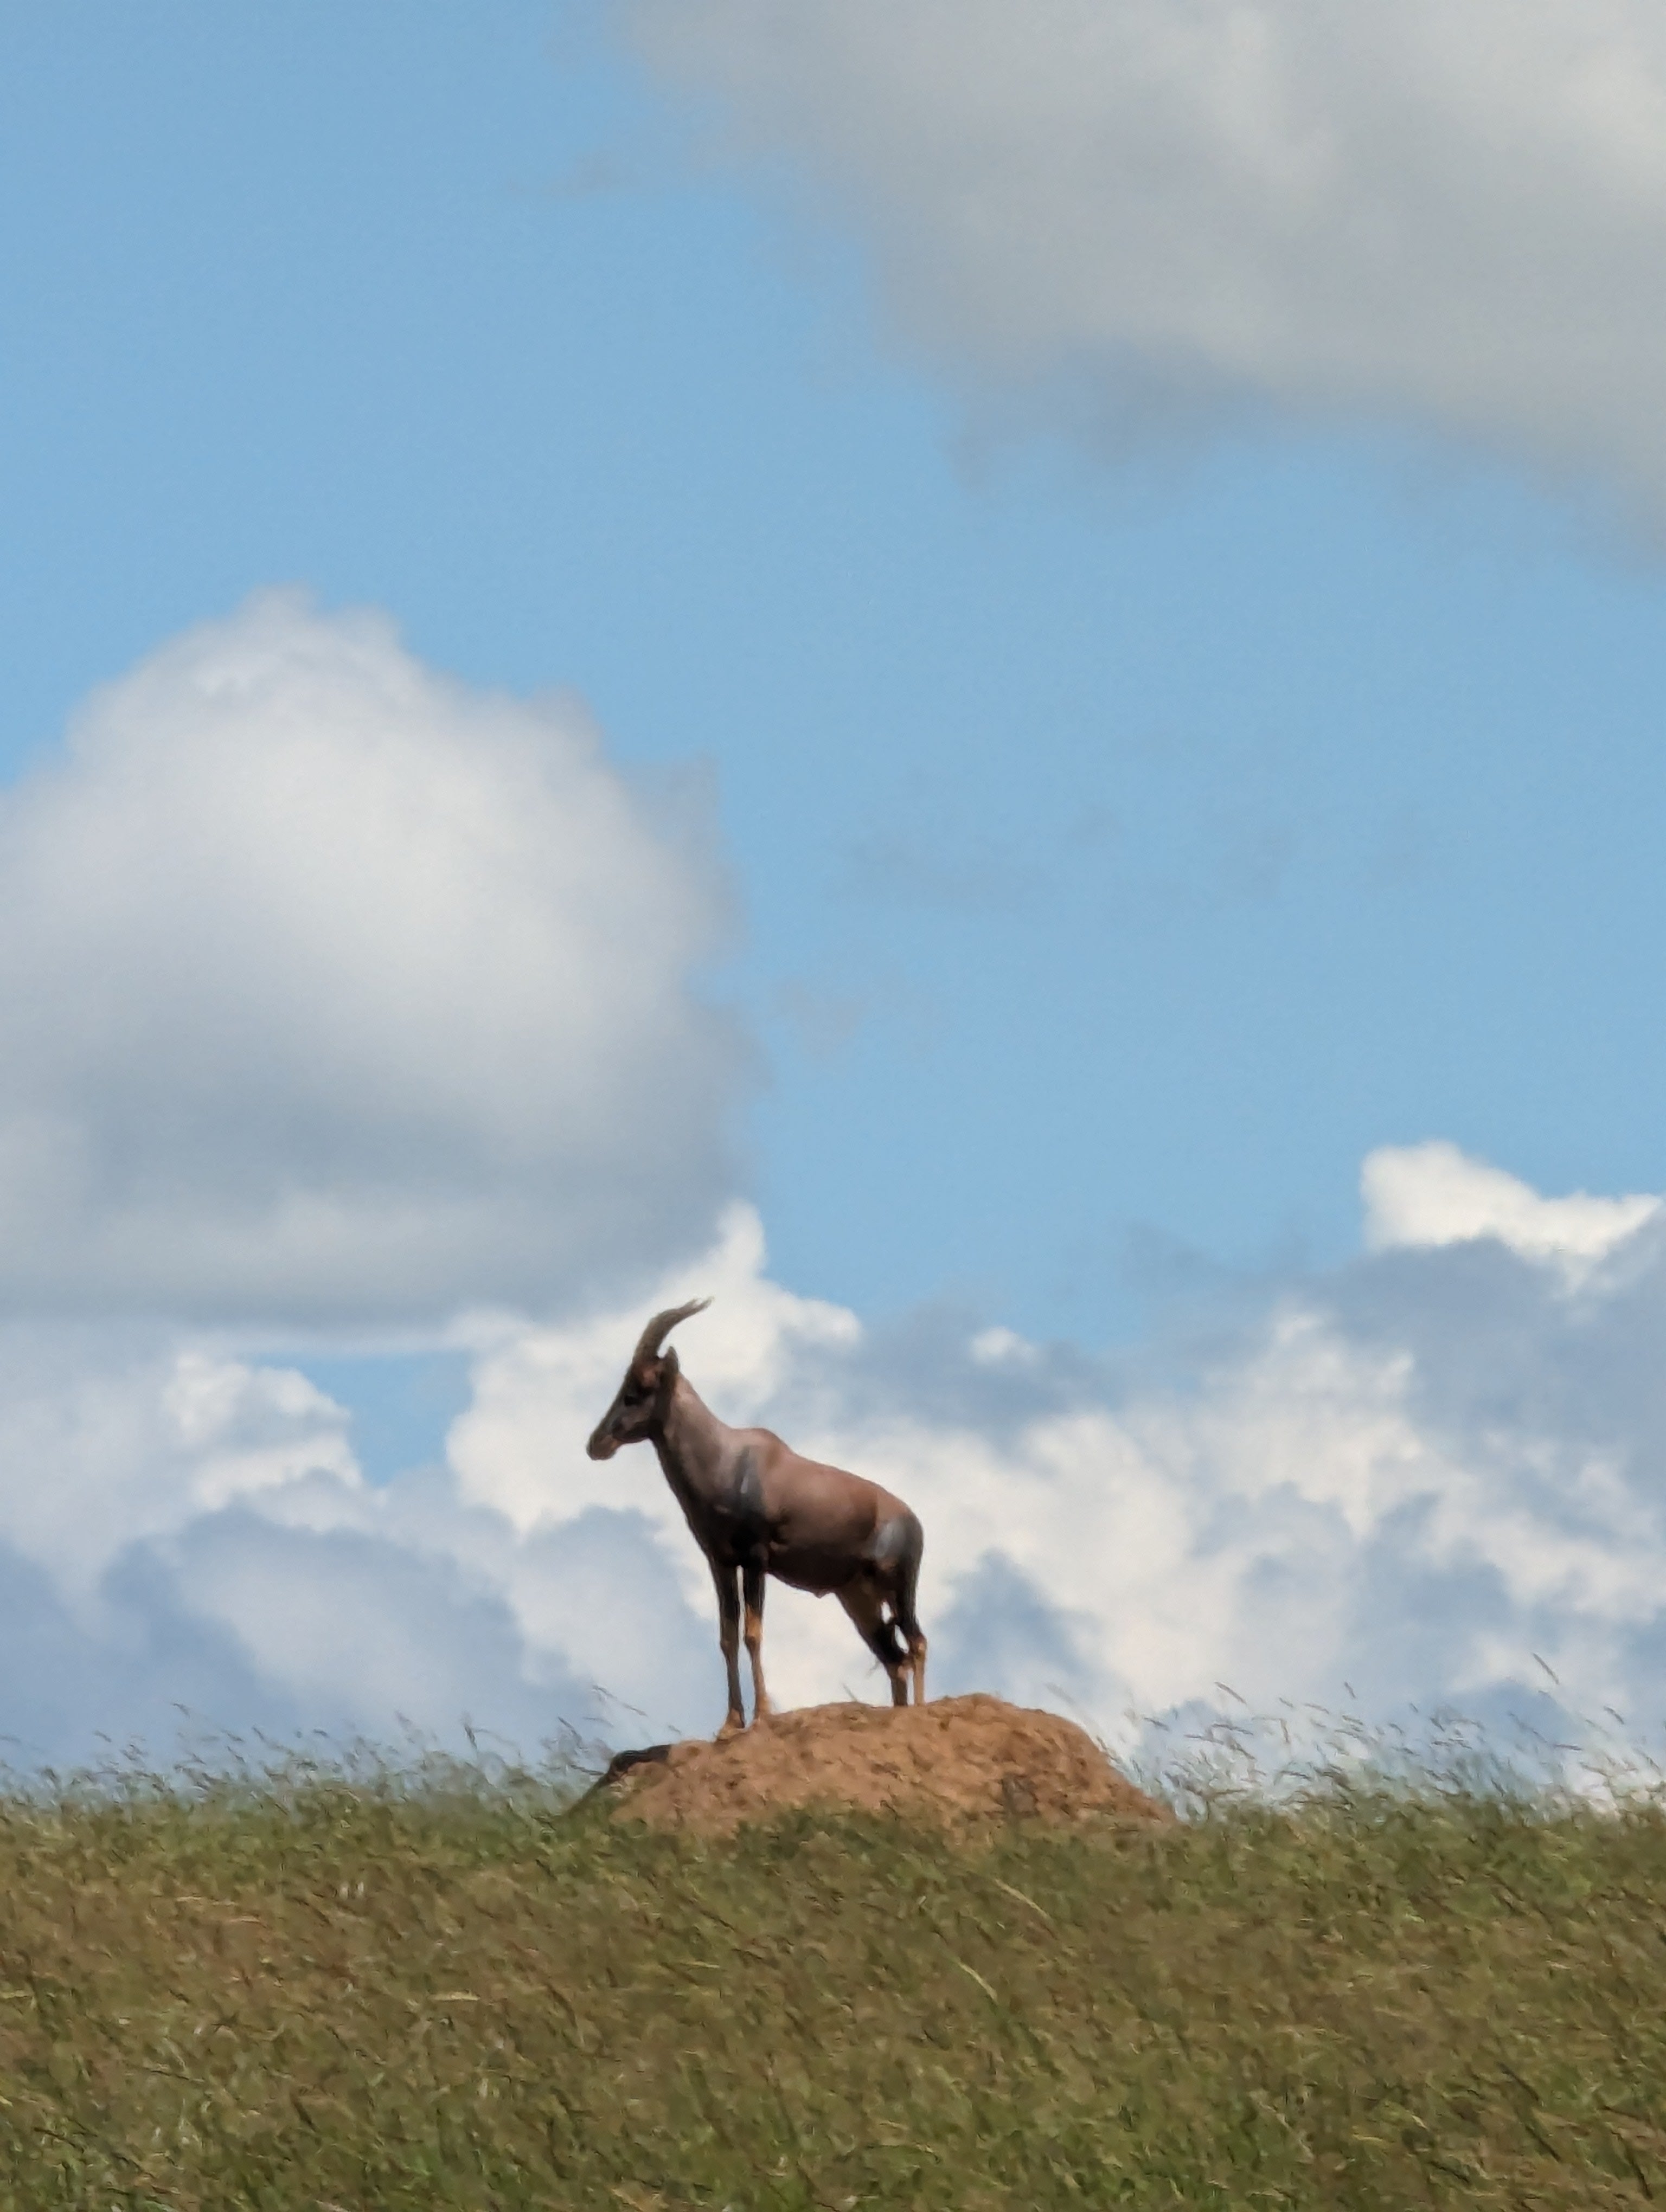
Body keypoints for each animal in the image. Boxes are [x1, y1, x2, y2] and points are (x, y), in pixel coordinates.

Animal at [584, 1291, 925, 1743]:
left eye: (640, 1388)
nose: (597, 1443)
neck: (729, 1459)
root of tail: (911, 1519)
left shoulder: (757, 1559)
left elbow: (753, 1633)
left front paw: (763, 1715)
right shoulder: (721, 1561)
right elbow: (727, 1637)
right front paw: (730, 1723)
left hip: (898, 1586)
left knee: (917, 1644)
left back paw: (923, 1713)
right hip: (859, 1600)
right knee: (894, 1658)